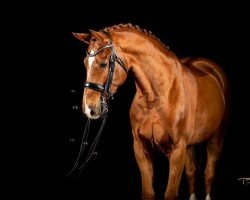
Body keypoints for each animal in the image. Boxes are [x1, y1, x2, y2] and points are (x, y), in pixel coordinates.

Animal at [72, 23, 229, 200]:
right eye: (85, 62)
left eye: (103, 64)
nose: (88, 108)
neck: (157, 96)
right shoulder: (141, 148)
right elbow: (148, 192)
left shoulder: (177, 151)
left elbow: (170, 193)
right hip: (189, 146)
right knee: (192, 173)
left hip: (216, 138)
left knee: (208, 174)